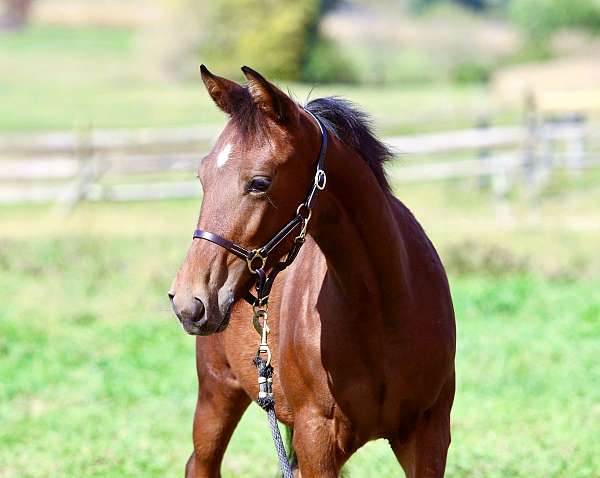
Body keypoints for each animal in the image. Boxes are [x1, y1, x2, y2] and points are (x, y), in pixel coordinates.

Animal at [169, 64, 454, 478]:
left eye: (259, 183)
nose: (189, 301)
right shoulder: (316, 435)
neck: (382, 312)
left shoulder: (428, 436)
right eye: (202, 177)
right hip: (217, 392)